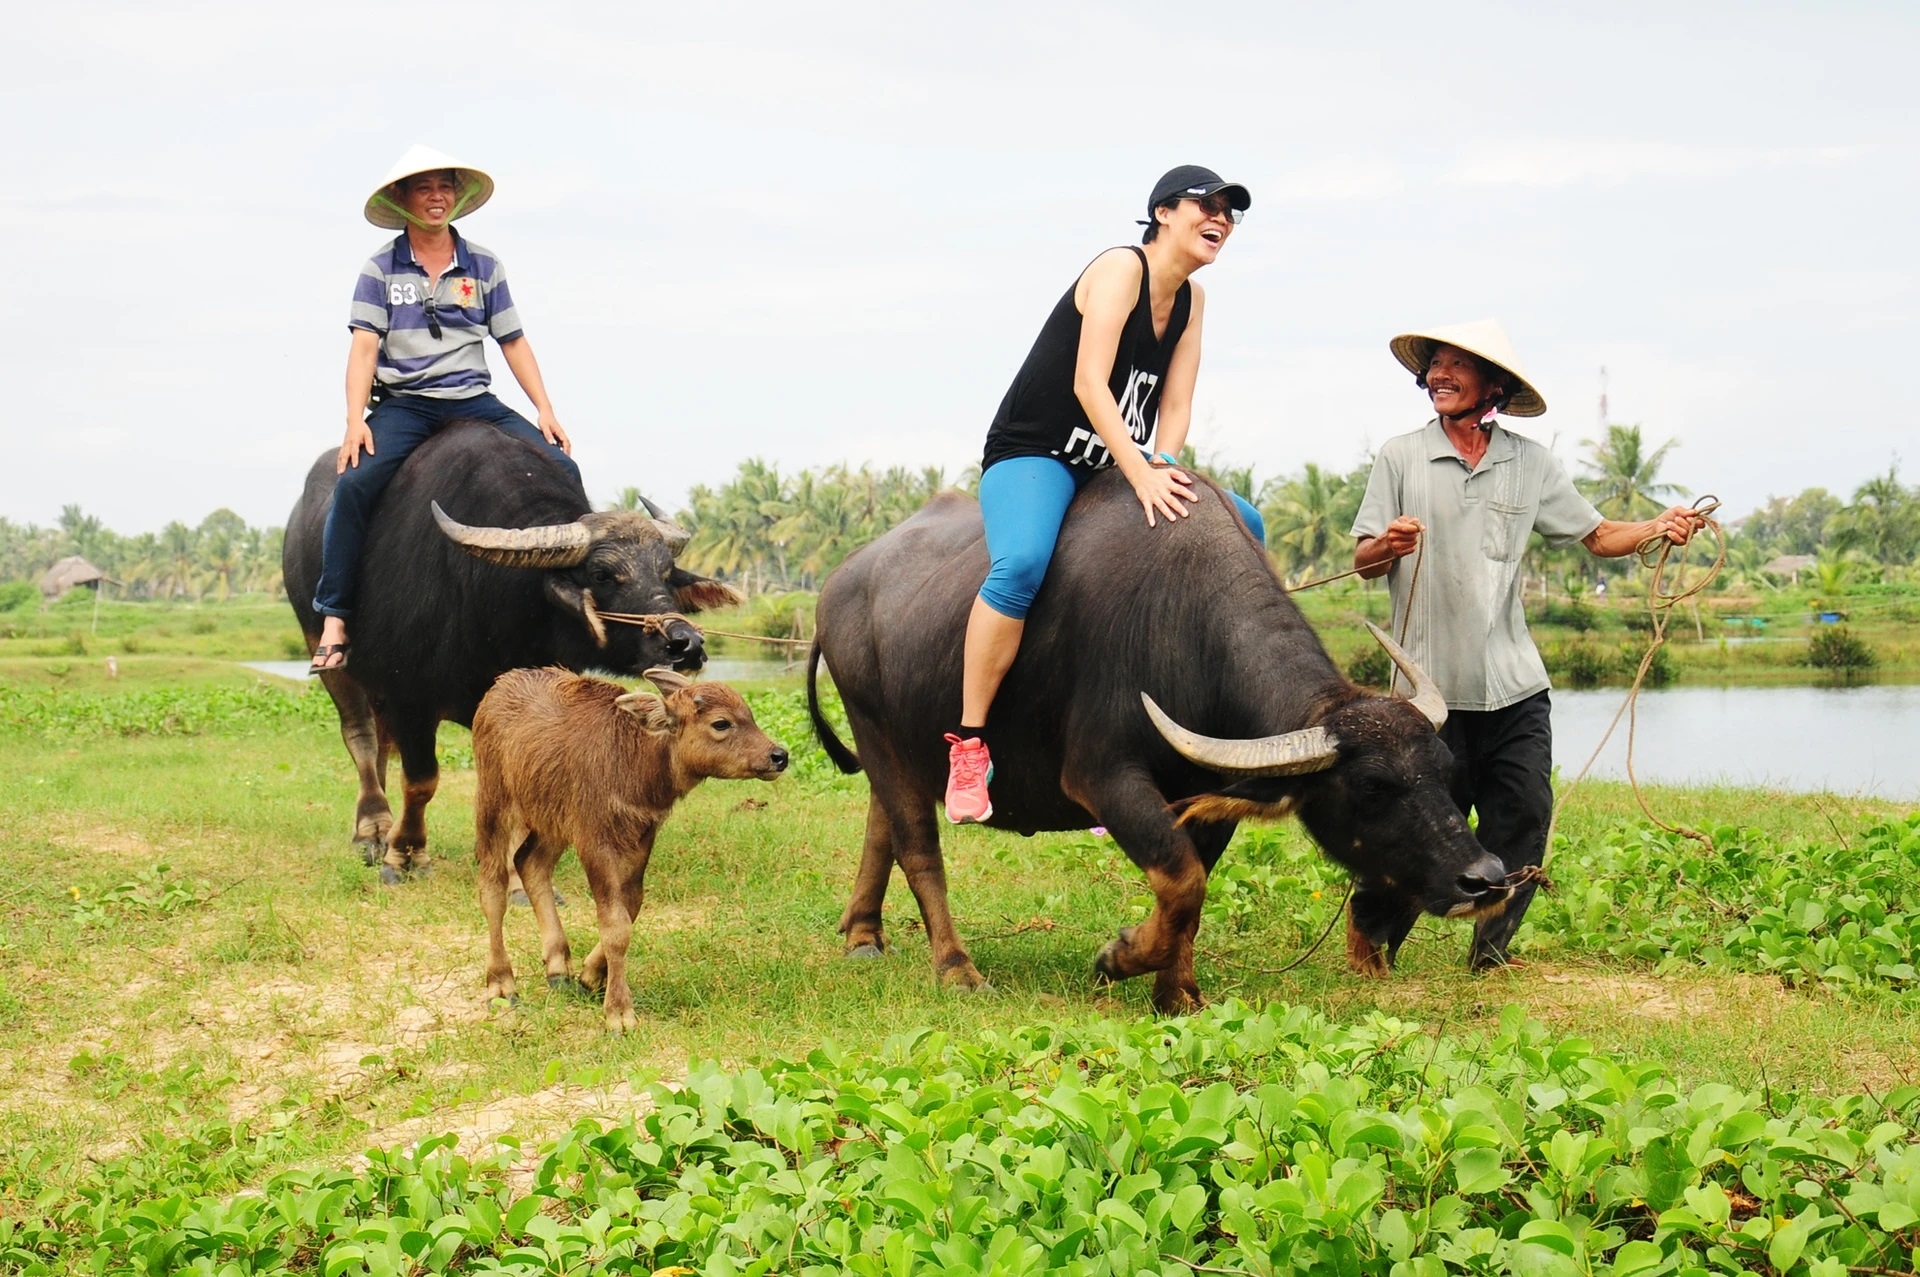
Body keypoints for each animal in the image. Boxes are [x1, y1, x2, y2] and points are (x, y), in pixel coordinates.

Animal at [280, 422, 737, 883]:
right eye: (601, 574)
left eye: (665, 572)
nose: (686, 644)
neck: (487, 605)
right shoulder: (409, 697)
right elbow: (421, 781)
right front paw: (405, 855)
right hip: (324, 651)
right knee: (361, 736)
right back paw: (372, 831)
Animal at [476, 668, 783, 1029]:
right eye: (721, 723)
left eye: (748, 714)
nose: (779, 756)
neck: (635, 761)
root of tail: (500, 684)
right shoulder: (594, 841)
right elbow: (615, 925)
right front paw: (619, 1013)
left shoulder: (642, 837)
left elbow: (631, 907)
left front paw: (590, 976)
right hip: (494, 803)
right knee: (492, 886)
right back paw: (501, 984)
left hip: (551, 821)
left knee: (530, 862)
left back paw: (558, 970)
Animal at [806, 466, 1512, 1006]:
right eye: (1371, 786)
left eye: (1445, 771)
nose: (1485, 879)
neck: (1182, 626)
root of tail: (840, 581)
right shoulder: (1101, 777)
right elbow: (1181, 879)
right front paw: (1119, 958)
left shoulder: (1212, 793)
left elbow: (1193, 890)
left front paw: (1177, 994)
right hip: (875, 729)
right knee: (919, 847)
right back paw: (956, 968)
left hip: (902, 745)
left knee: (882, 823)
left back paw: (863, 935)